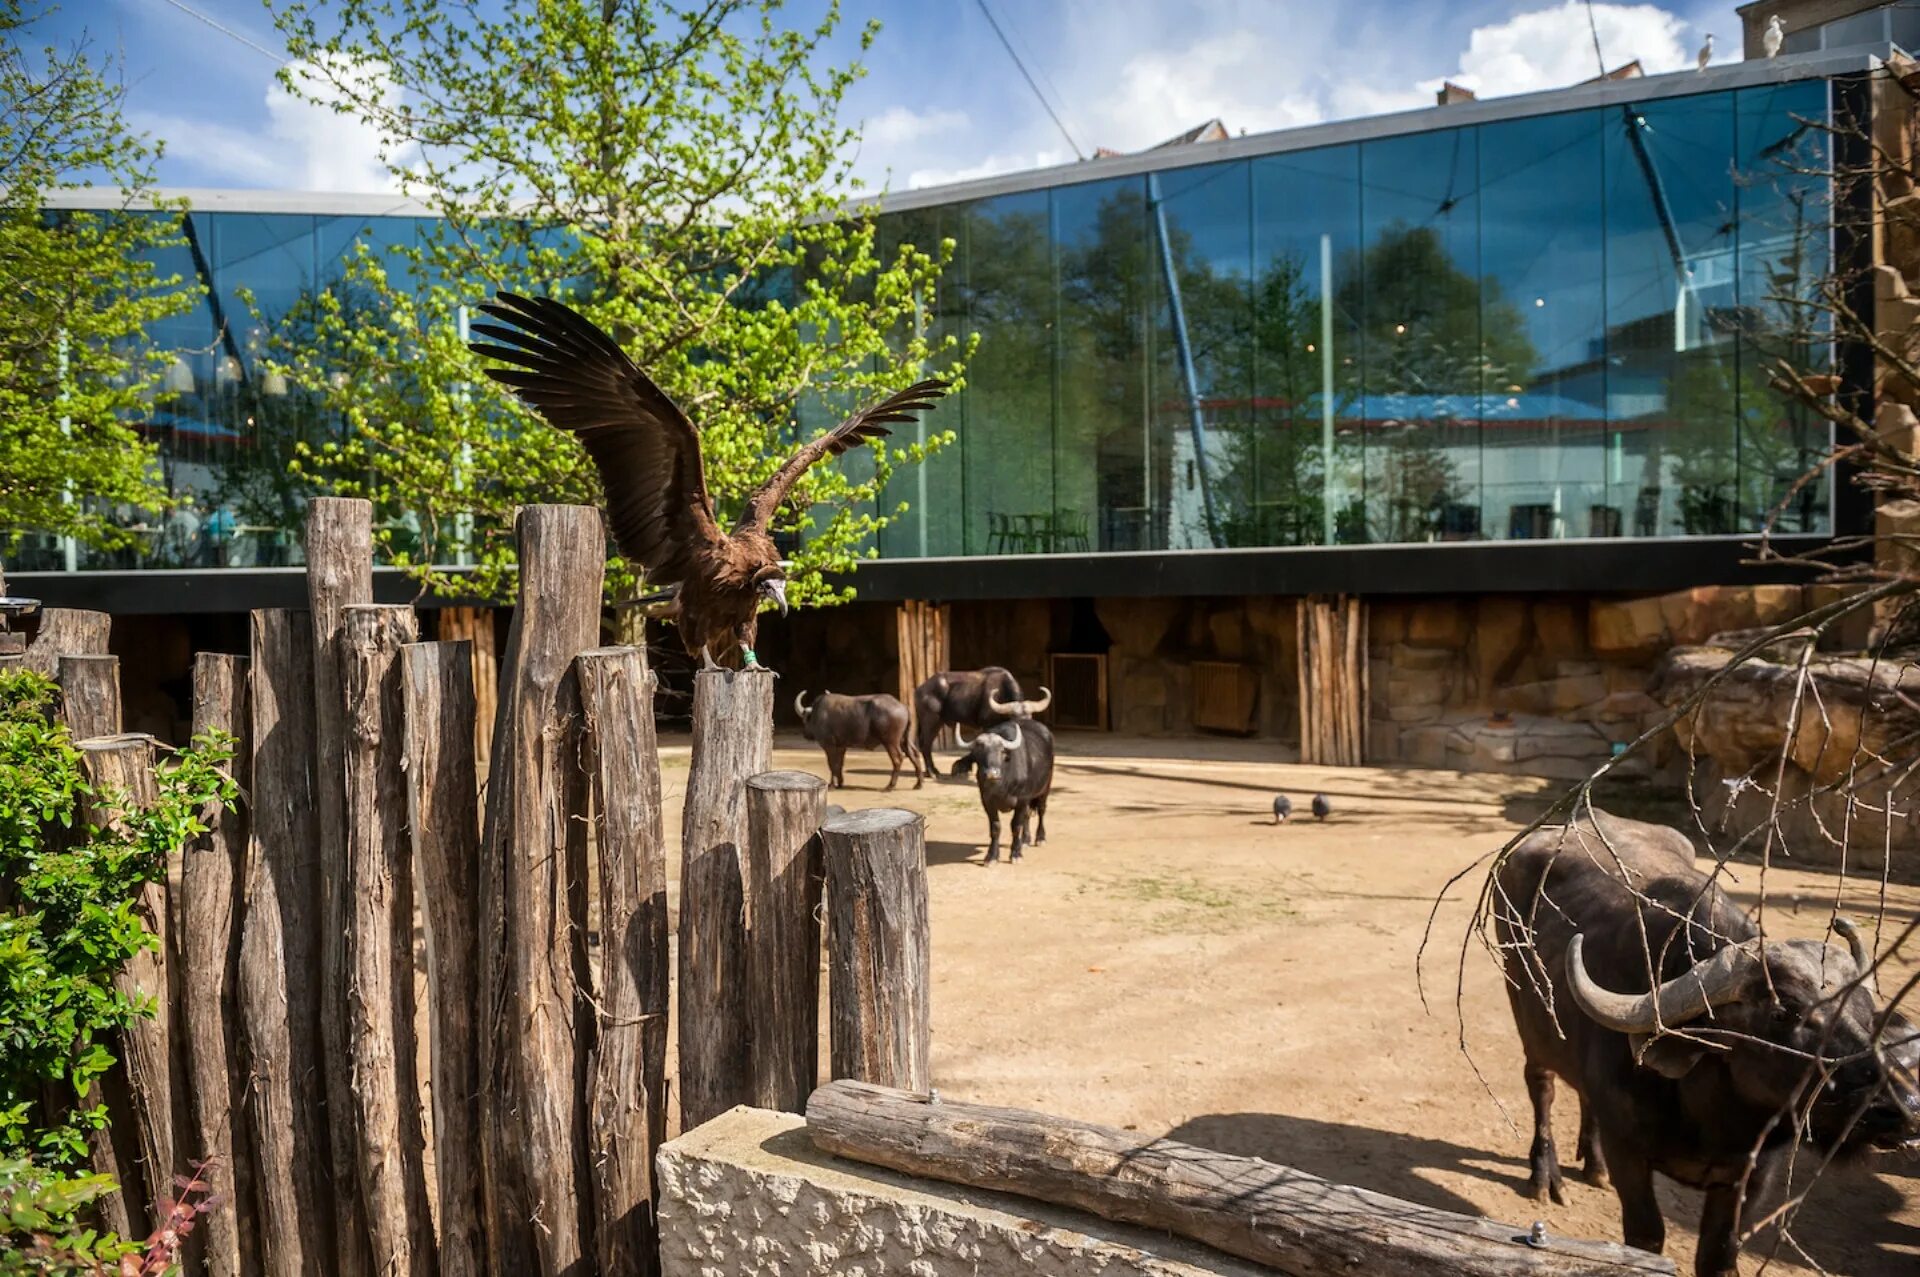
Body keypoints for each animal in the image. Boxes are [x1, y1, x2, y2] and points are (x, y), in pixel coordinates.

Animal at [910, 668, 1052, 768]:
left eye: (1030, 718)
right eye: (1014, 719)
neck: (1001, 693)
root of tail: (919, 690)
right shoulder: (986, 726)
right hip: (931, 722)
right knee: (925, 744)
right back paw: (933, 772)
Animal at [944, 718, 1052, 867]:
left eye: (1001, 751)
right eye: (978, 753)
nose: (991, 773)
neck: (1002, 786)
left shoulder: (1022, 800)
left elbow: (1016, 826)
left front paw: (1016, 854)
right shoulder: (987, 801)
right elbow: (995, 827)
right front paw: (992, 856)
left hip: (1045, 787)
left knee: (1041, 810)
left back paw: (1040, 838)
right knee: (1027, 815)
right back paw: (1025, 840)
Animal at [1489, 810, 1912, 1267]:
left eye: (1867, 1012)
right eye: (1784, 1011)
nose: (1901, 1106)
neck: (1710, 1120)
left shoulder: (1751, 1177)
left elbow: (1719, 1252)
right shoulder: (1629, 1155)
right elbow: (1647, 1236)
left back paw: (1593, 1167)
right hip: (1525, 1016)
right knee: (1542, 1087)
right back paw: (1545, 1177)